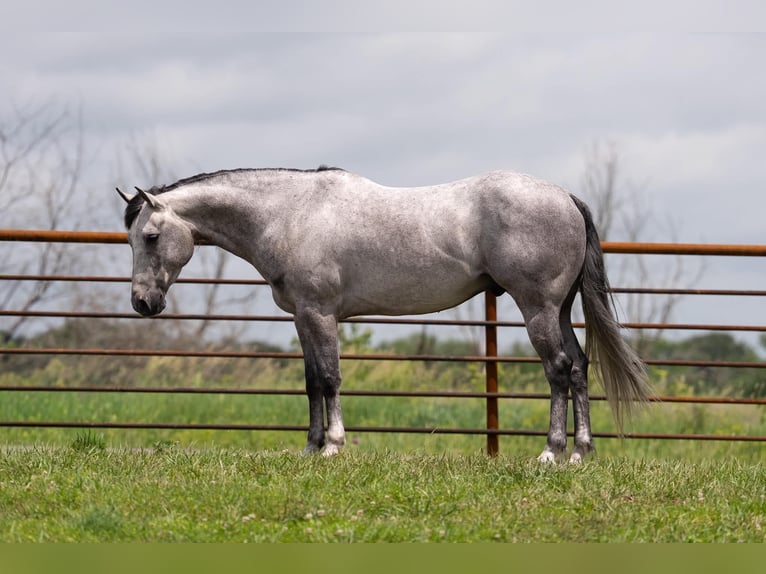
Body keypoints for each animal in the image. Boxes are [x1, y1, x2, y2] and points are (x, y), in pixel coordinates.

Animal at [117, 166, 650, 463]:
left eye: (150, 237)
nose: (143, 303)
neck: (291, 214)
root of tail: (564, 197)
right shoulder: (302, 318)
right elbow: (312, 382)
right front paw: (310, 448)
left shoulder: (320, 314)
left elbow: (331, 378)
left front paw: (334, 446)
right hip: (559, 310)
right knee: (578, 368)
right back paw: (581, 452)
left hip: (537, 308)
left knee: (558, 370)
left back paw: (551, 452)